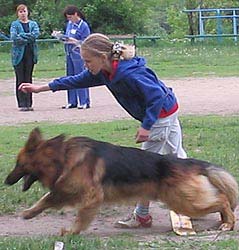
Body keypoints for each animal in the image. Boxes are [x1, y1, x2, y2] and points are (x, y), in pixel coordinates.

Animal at [4, 128, 238, 235]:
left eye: (18, 164)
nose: (5, 181)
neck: (62, 157)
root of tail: (188, 162)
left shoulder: (89, 196)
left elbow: (78, 217)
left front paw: (71, 233)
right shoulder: (65, 190)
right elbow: (45, 199)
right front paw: (29, 213)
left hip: (185, 201)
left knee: (223, 200)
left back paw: (228, 222)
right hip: (183, 201)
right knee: (220, 199)